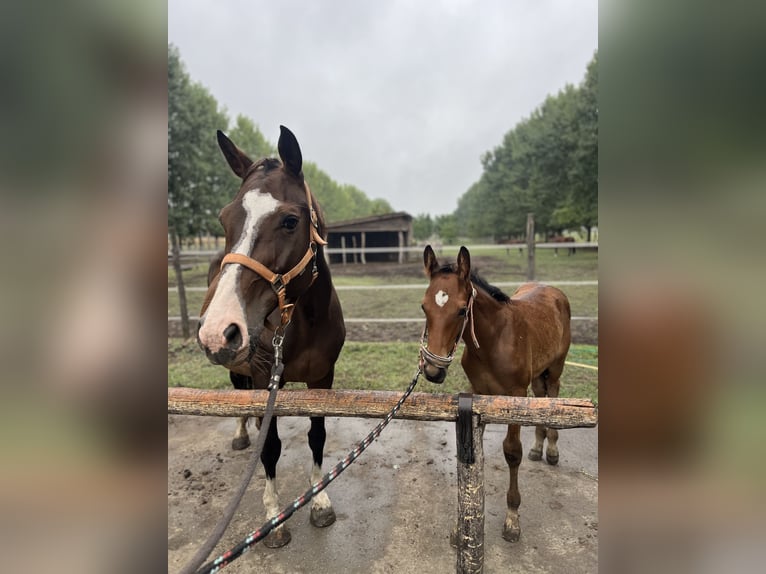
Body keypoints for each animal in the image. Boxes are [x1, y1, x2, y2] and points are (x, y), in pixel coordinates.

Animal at [196, 126, 346, 548]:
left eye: (290, 221)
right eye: (224, 219)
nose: (219, 327)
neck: (304, 322)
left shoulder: (322, 378)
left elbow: (317, 435)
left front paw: (319, 502)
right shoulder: (266, 380)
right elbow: (271, 447)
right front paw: (274, 516)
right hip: (236, 366)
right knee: (239, 396)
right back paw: (240, 434)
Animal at [420, 246, 568, 544]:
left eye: (461, 310)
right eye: (424, 307)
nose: (432, 371)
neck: (493, 340)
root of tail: (553, 290)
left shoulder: (515, 394)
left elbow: (512, 452)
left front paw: (512, 519)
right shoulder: (478, 393)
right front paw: (461, 526)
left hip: (555, 369)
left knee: (552, 397)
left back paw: (551, 449)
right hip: (538, 375)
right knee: (541, 397)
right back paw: (538, 447)